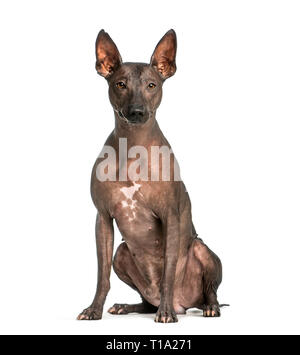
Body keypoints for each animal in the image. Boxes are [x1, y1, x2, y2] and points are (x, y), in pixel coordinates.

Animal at [77, 29, 223, 324]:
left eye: (152, 85)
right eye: (120, 84)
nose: (137, 111)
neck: (133, 148)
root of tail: (184, 303)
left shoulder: (170, 217)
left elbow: (168, 272)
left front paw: (165, 314)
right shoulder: (103, 218)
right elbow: (101, 276)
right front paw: (94, 309)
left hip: (201, 249)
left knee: (209, 291)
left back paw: (205, 308)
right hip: (121, 254)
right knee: (145, 301)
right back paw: (128, 306)